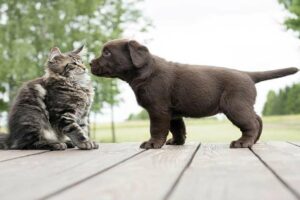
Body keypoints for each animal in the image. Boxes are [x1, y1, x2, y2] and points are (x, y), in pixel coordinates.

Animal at [90, 39, 298, 148]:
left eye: (107, 53)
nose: (90, 63)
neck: (144, 72)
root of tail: (247, 74)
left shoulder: (158, 109)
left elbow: (156, 129)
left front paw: (152, 144)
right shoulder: (172, 113)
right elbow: (177, 128)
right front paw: (176, 142)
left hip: (234, 106)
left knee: (251, 123)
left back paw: (243, 142)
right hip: (242, 105)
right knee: (257, 119)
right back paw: (254, 141)